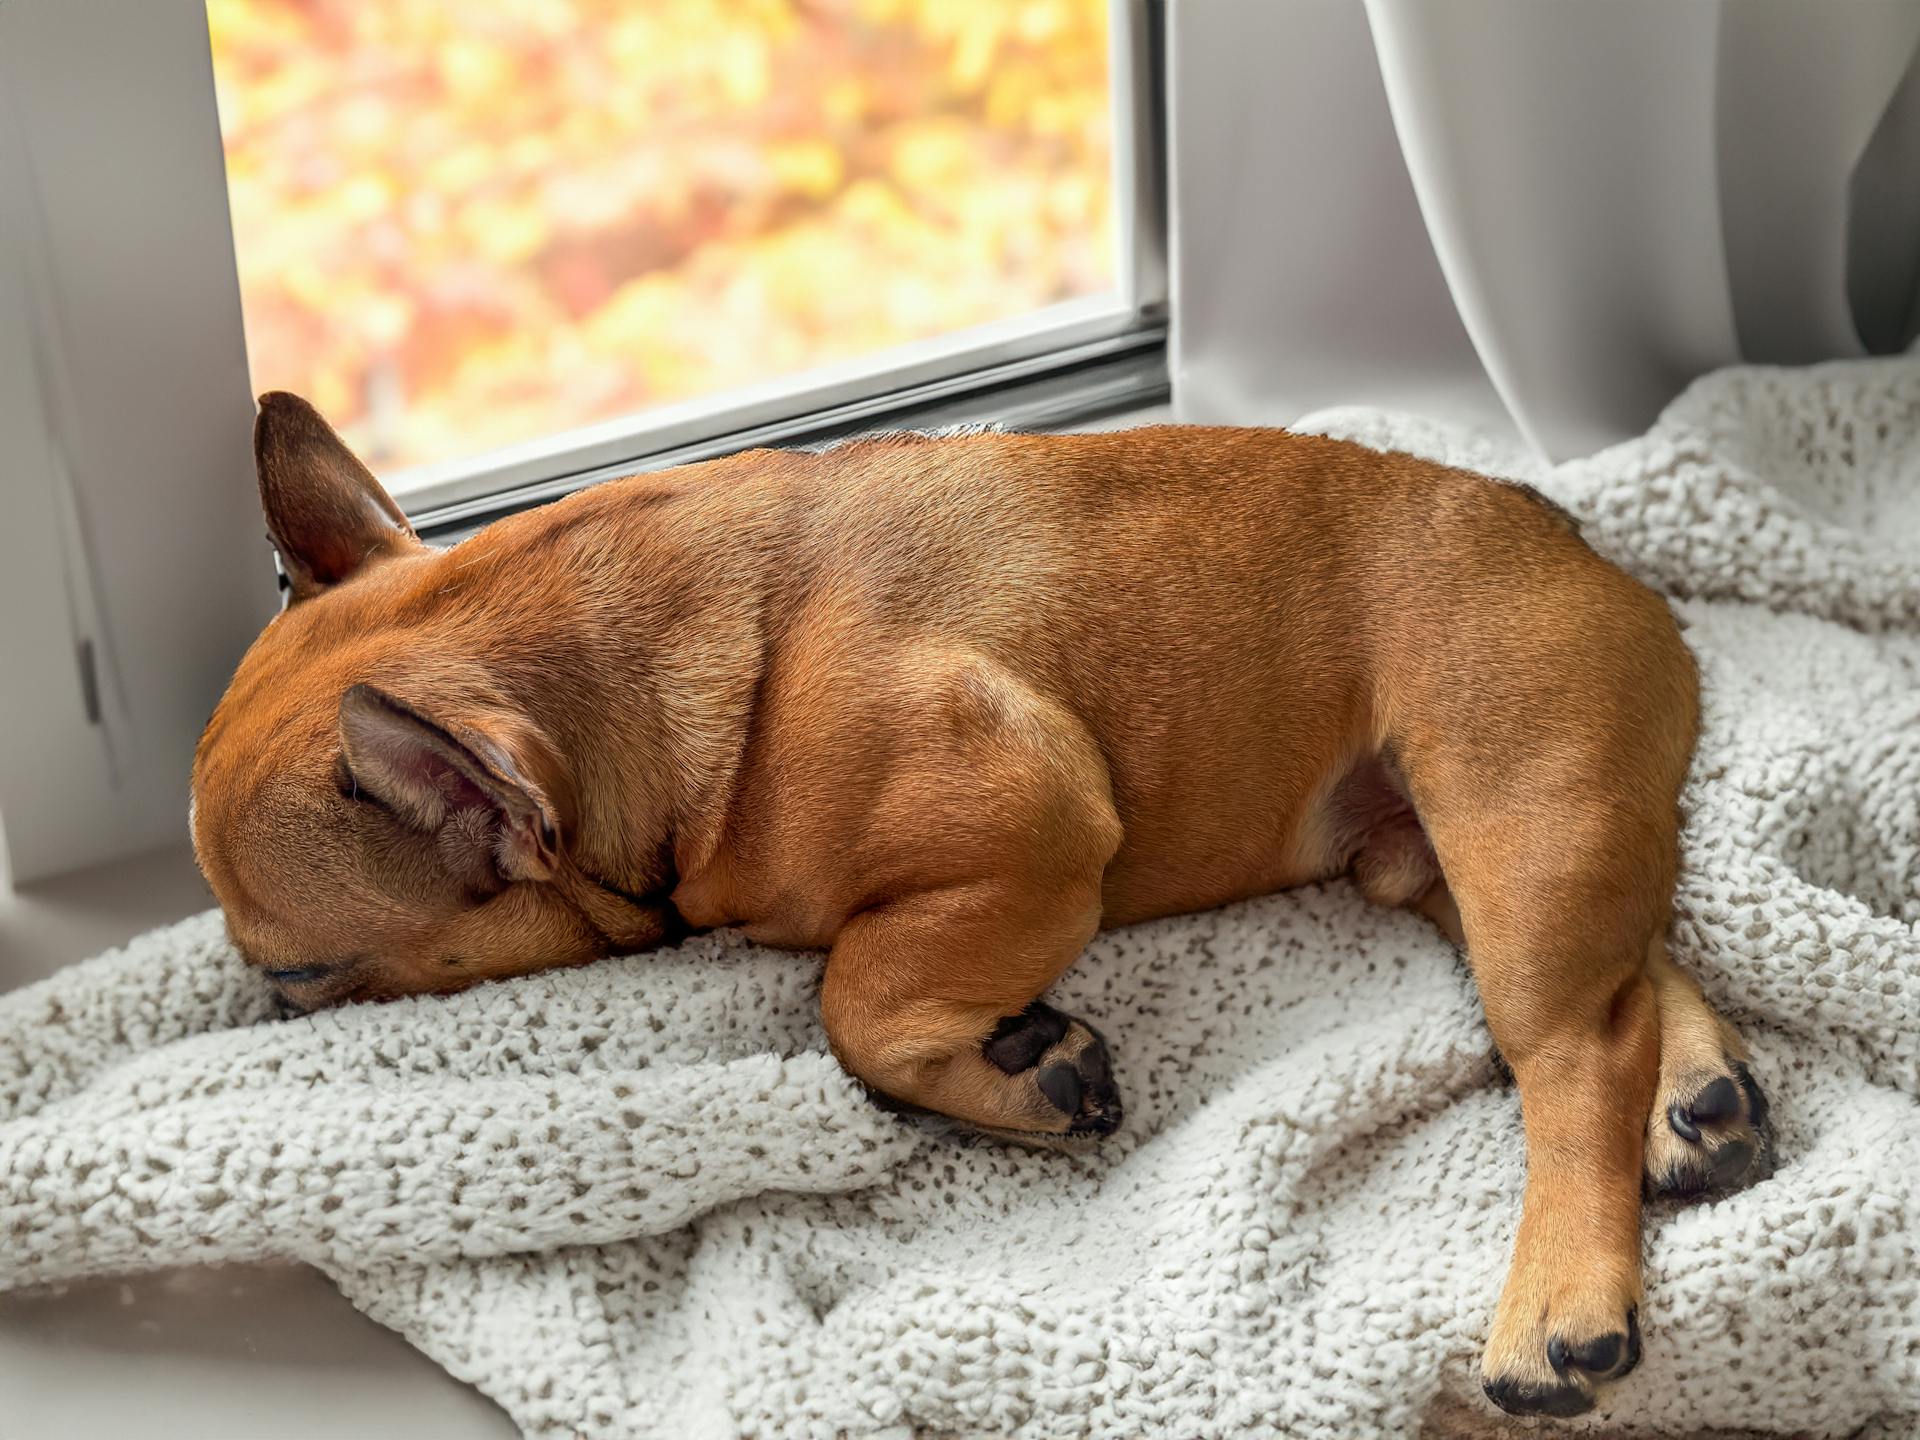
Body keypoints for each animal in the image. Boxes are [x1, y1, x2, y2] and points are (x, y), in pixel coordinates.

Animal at [194, 391, 1766, 1420]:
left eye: (302, 978)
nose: (251, 1002)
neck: (619, 683)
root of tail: (1584, 547)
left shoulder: (1034, 829)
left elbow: (856, 1000)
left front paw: (1025, 1074)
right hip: (1456, 852)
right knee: (1625, 976)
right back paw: (1703, 1099)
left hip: (1513, 805)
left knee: (1570, 1048)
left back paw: (1560, 1307)